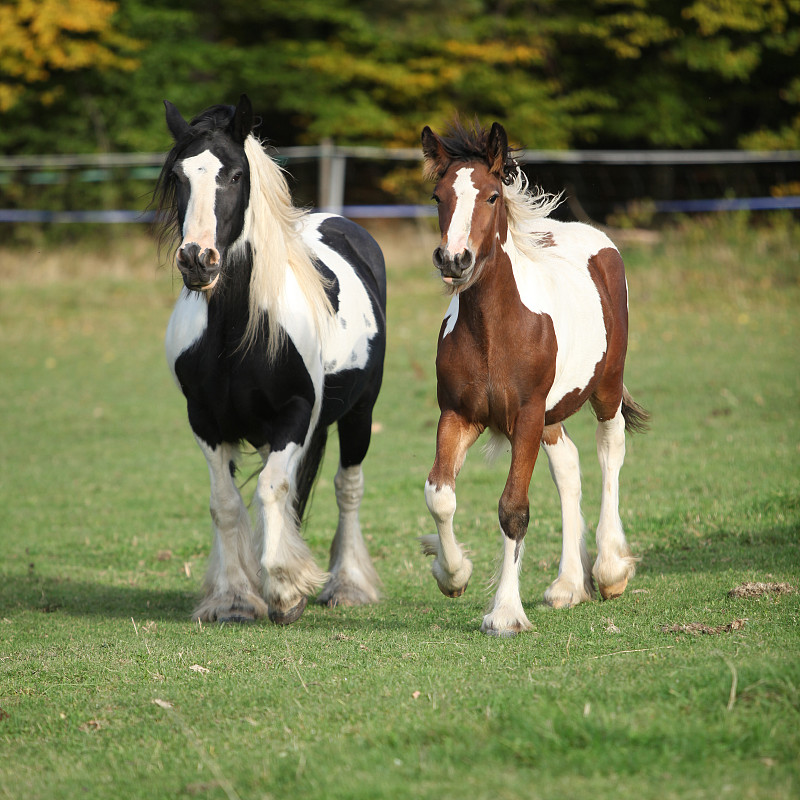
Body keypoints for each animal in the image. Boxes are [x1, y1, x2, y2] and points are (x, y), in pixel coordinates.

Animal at [154, 95, 388, 624]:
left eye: (236, 174)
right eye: (179, 176)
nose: (197, 259)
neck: (235, 334)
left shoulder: (296, 414)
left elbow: (274, 490)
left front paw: (284, 589)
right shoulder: (204, 420)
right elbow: (225, 503)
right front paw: (235, 598)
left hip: (359, 414)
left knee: (347, 488)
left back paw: (347, 584)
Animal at [422, 122, 648, 636]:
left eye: (490, 196)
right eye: (438, 196)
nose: (454, 259)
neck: (494, 329)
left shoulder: (524, 416)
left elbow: (513, 509)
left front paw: (505, 613)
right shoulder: (458, 415)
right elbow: (440, 494)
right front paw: (453, 574)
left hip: (605, 388)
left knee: (611, 449)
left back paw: (609, 571)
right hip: (551, 415)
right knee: (568, 466)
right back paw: (568, 585)